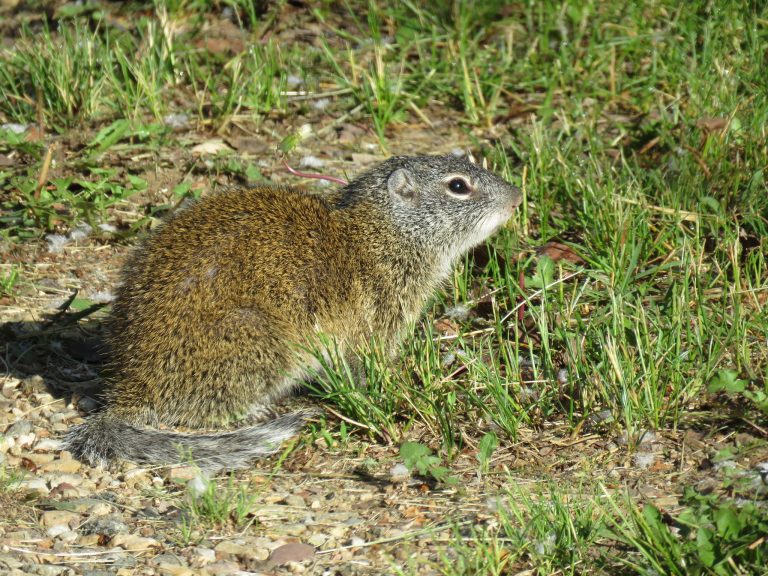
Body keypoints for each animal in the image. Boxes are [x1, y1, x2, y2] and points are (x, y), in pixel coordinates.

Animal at [64, 154, 520, 472]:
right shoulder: (373, 326)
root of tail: (127, 391)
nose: (516, 196)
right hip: (260, 342)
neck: (380, 234)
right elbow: (366, 372)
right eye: (458, 185)